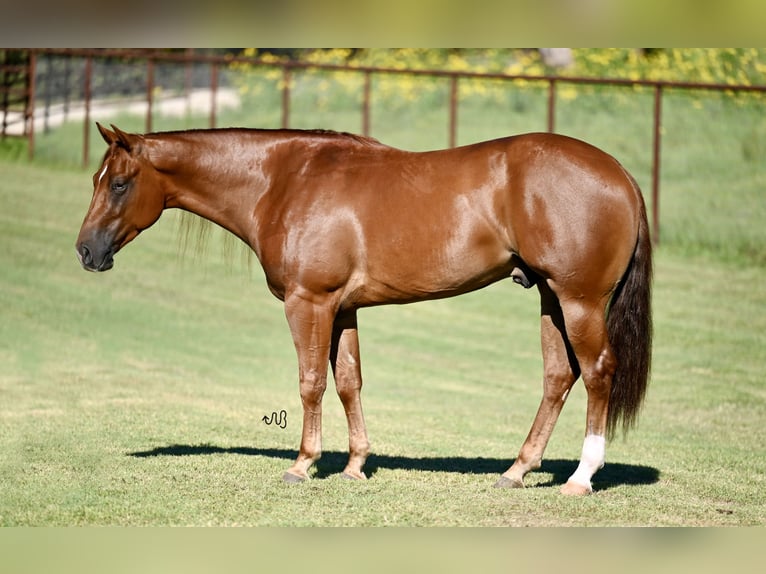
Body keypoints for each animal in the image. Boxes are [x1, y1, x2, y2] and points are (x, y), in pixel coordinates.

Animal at [76, 124, 656, 498]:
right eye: (97, 181)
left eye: (119, 183)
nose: (86, 251)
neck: (285, 180)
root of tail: (621, 174)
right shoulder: (343, 308)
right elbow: (349, 382)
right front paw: (355, 467)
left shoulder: (308, 302)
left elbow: (311, 381)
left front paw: (303, 465)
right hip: (550, 299)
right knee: (559, 376)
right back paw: (516, 471)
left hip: (578, 301)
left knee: (597, 372)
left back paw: (580, 478)